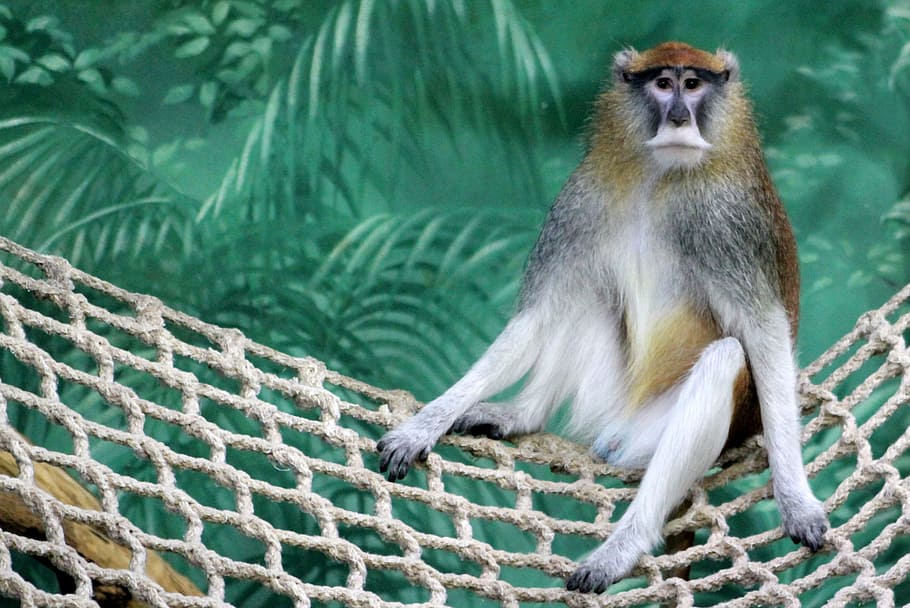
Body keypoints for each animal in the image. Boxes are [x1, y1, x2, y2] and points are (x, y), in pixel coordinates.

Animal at [375, 42, 829, 593]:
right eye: (662, 84)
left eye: (694, 85)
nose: (679, 117)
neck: (660, 179)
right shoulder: (581, 204)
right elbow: (538, 315)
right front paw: (423, 426)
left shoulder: (727, 221)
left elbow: (764, 333)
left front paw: (795, 499)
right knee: (586, 297)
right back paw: (525, 415)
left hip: (652, 432)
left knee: (724, 359)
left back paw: (624, 546)